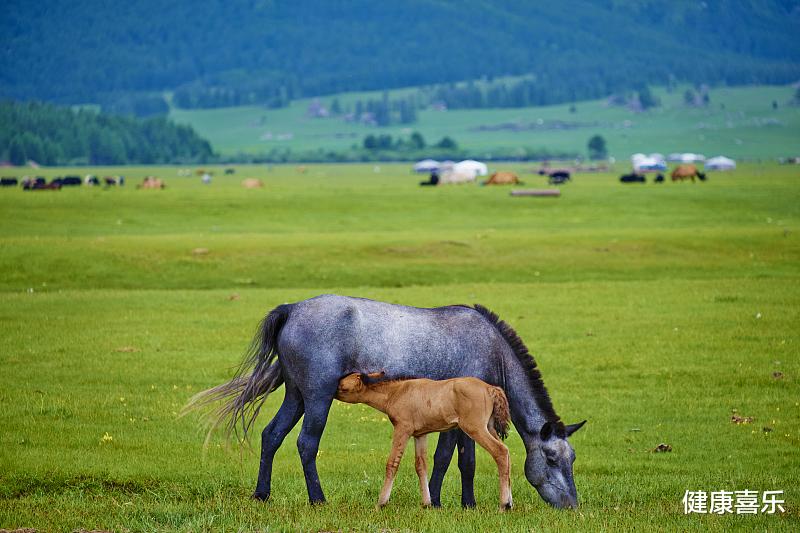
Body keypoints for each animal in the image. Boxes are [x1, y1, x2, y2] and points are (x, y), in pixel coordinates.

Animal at [336, 372, 512, 510]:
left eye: (343, 387)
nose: (333, 392)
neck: (396, 393)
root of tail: (490, 388)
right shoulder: (420, 434)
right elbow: (421, 465)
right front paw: (427, 503)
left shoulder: (403, 429)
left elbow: (392, 463)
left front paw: (381, 503)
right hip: (489, 427)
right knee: (507, 452)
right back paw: (510, 502)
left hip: (475, 428)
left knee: (500, 451)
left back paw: (504, 504)